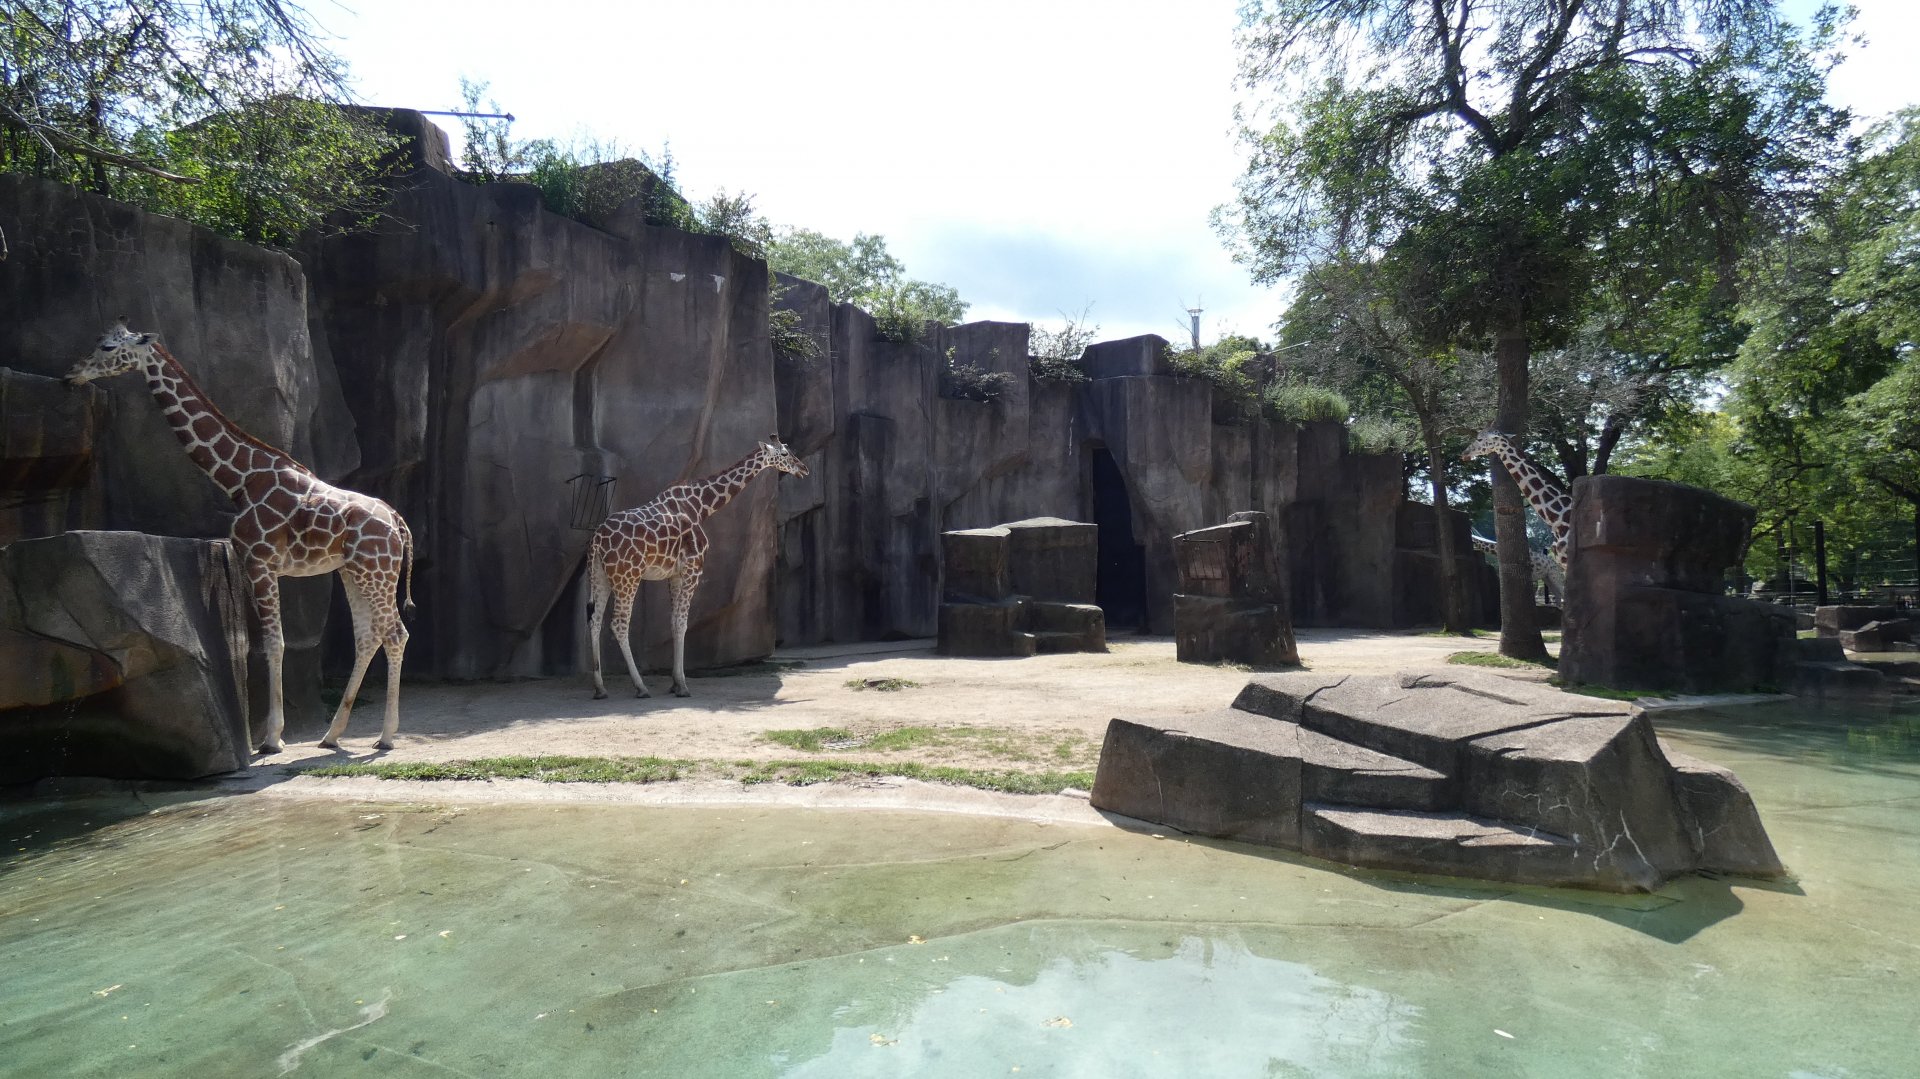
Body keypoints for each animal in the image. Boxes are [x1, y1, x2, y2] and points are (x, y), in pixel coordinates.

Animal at [68, 322, 415, 752]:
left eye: (107, 346)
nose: (72, 373)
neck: (239, 479)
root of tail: (398, 521)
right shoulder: (262, 566)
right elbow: (269, 642)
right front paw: (273, 735)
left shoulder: (260, 562)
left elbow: (272, 643)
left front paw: (270, 739)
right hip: (353, 572)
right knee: (369, 636)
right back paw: (332, 735)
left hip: (376, 571)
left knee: (395, 633)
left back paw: (385, 737)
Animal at [586, 437, 808, 700]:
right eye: (784, 453)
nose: (803, 469)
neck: (700, 506)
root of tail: (597, 540)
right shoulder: (694, 567)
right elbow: (682, 622)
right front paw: (682, 685)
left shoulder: (674, 574)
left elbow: (674, 621)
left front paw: (674, 683)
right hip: (627, 577)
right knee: (619, 624)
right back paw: (640, 687)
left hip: (600, 576)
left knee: (595, 620)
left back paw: (600, 688)